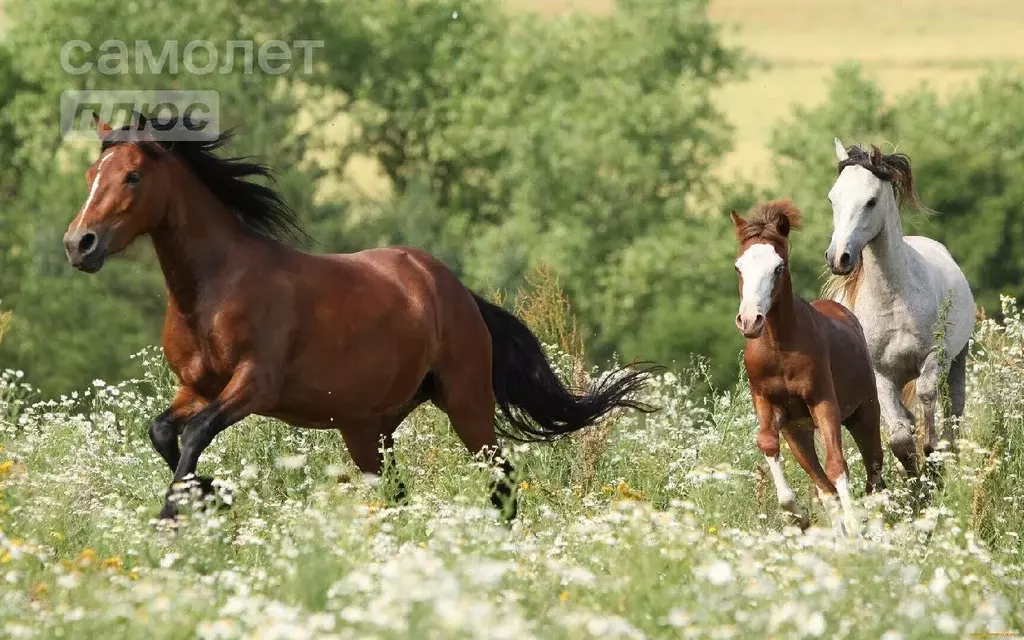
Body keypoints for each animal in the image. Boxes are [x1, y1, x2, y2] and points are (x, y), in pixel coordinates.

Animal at [61, 114, 655, 522]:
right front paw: (210, 494)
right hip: (369, 427)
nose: (78, 244)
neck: (214, 288)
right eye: (91, 172)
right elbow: (162, 430)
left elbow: (195, 434)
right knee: (397, 491)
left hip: (466, 403)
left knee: (501, 479)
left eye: (132, 176)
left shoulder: (254, 385)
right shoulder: (196, 387)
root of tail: (453, 289)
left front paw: (177, 511)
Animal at [733, 199, 884, 532]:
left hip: (865, 413)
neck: (779, 348)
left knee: (874, 473)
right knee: (824, 486)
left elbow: (837, 465)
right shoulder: (766, 401)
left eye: (778, 268)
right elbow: (767, 443)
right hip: (799, 433)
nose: (749, 320)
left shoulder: (823, 401)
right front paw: (796, 515)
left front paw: (855, 529)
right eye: (738, 267)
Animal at [819, 139, 970, 475]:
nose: (838, 258)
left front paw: (933, 457)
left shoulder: (934, 356)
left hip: (958, 361)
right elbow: (901, 439)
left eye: (871, 201)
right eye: (832, 198)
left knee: (954, 412)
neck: (892, 301)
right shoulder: (881, 375)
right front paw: (918, 481)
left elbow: (926, 396)